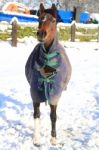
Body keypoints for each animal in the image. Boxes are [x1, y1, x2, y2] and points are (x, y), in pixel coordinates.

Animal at [25, 3, 72, 146]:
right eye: (39, 18)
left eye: (53, 20)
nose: (41, 33)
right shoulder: (34, 92)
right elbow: (36, 114)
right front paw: (36, 139)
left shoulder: (55, 93)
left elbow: (53, 116)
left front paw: (53, 138)